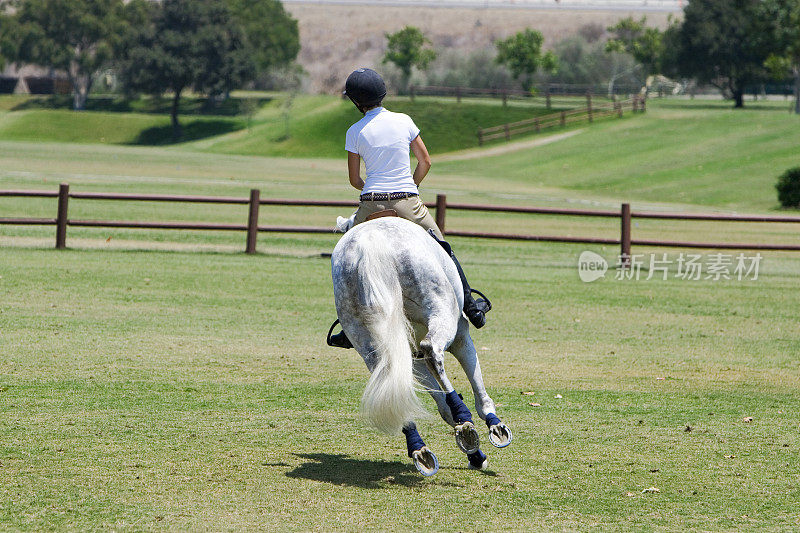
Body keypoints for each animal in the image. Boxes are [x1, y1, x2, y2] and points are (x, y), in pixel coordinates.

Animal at [332, 216, 512, 474]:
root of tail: (370, 244)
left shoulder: (412, 357)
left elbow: (442, 406)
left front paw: (474, 452)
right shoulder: (461, 336)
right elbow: (478, 390)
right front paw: (492, 426)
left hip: (371, 343)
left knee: (393, 386)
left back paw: (420, 449)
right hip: (441, 312)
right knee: (432, 351)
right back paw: (463, 418)